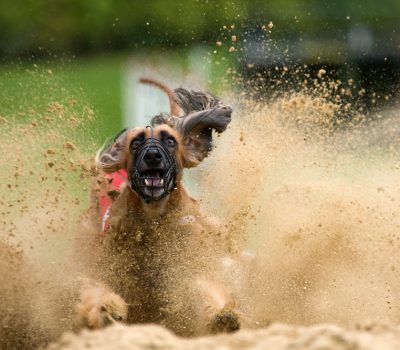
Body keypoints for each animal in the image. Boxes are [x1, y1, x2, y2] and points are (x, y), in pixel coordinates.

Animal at [72, 80, 241, 336]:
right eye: (136, 142)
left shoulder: (189, 264)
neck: (153, 219)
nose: (152, 155)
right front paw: (107, 310)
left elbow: (204, 289)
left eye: (170, 140)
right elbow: (95, 290)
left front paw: (222, 316)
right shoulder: (104, 266)